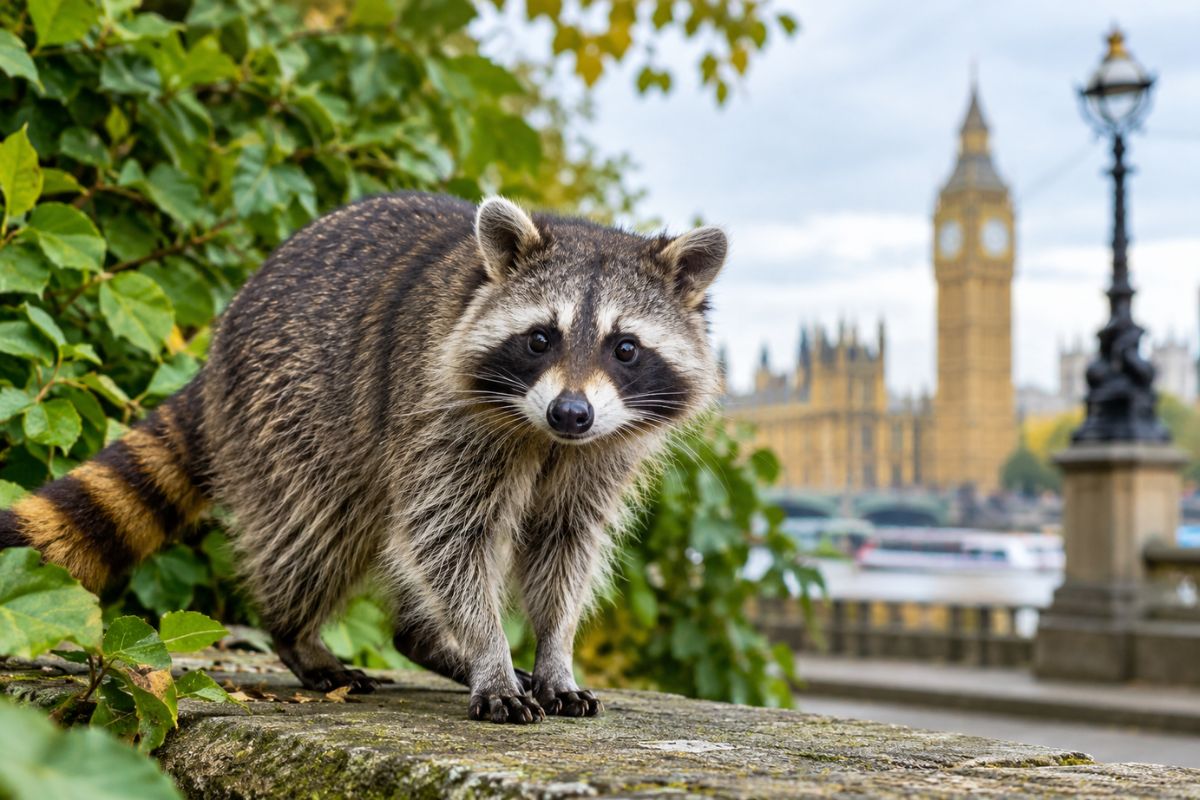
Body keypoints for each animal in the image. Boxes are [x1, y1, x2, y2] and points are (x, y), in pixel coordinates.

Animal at [0, 192, 727, 723]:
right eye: (539, 339)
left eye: (625, 348)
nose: (570, 413)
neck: (544, 438)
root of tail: (216, 353)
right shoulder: (437, 413)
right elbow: (448, 539)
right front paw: (489, 652)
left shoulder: (598, 456)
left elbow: (565, 549)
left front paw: (554, 652)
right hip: (292, 416)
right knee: (318, 530)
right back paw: (296, 632)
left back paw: (425, 642)